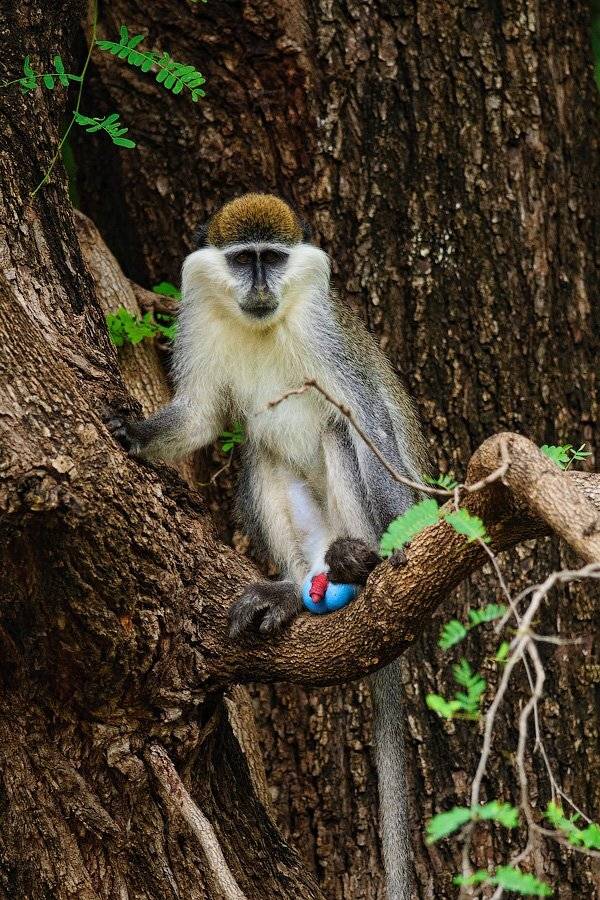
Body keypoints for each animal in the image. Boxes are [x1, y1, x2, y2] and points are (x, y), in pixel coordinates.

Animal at [108, 193, 428, 900]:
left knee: (339, 428)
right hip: (306, 535)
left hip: (349, 517)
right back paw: (290, 590)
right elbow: (200, 417)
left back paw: (363, 564)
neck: (261, 325)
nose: (258, 285)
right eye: (242, 259)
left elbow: (368, 421)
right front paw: (135, 434)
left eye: (274, 260)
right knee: (259, 448)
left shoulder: (323, 331)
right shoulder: (200, 317)